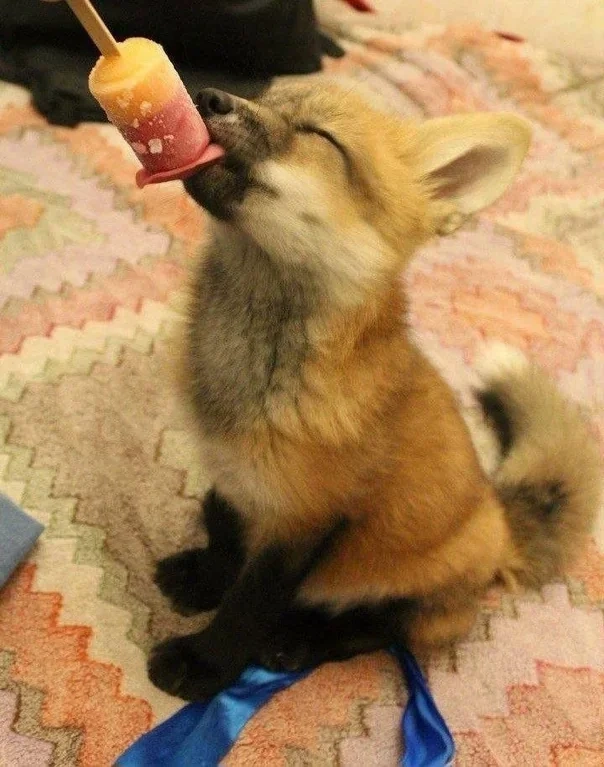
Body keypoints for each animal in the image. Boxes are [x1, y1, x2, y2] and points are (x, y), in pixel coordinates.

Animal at [148, 80, 603, 702]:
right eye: (266, 94)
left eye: (321, 136)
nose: (207, 96)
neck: (251, 379)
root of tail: (501, 519)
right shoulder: (234, 480)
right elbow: (225, 535)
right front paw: (206, 578)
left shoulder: (308, 517)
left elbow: (249, 604)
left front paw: (206, 664)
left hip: (418, 597)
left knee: (382, 630)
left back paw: (302, 640)